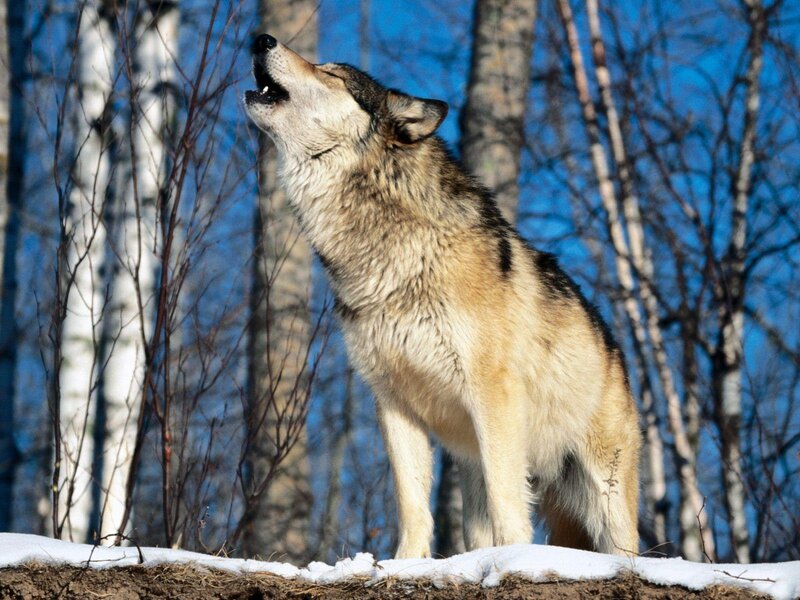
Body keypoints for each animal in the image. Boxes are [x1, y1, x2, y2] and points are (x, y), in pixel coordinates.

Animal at [244, 33, 641, 558]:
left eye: (331, 74)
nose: (260, 39)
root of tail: (616, 349)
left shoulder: (493, 395)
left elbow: (508, 502)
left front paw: (512, 560)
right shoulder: (393, 404)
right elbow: (412, 504)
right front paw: (404, 564)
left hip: (604, 494)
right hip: (474, 469)